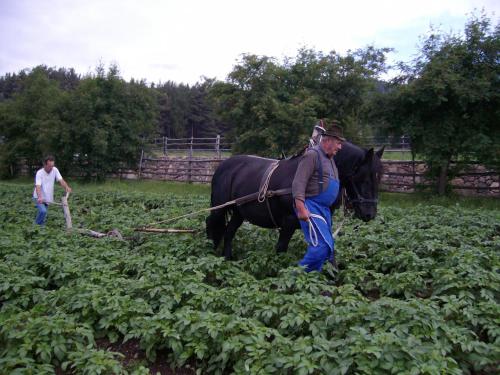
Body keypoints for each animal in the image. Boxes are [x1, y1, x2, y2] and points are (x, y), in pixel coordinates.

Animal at [205, 142, 384, 260]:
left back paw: (228, 258)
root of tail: (223, 166)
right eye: (362, 177)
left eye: (379, 177)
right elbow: (281, 248)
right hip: (219, 207)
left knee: (229, 232)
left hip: (238, 212)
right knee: (211, 222)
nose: (369, 214)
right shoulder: (289, 222)